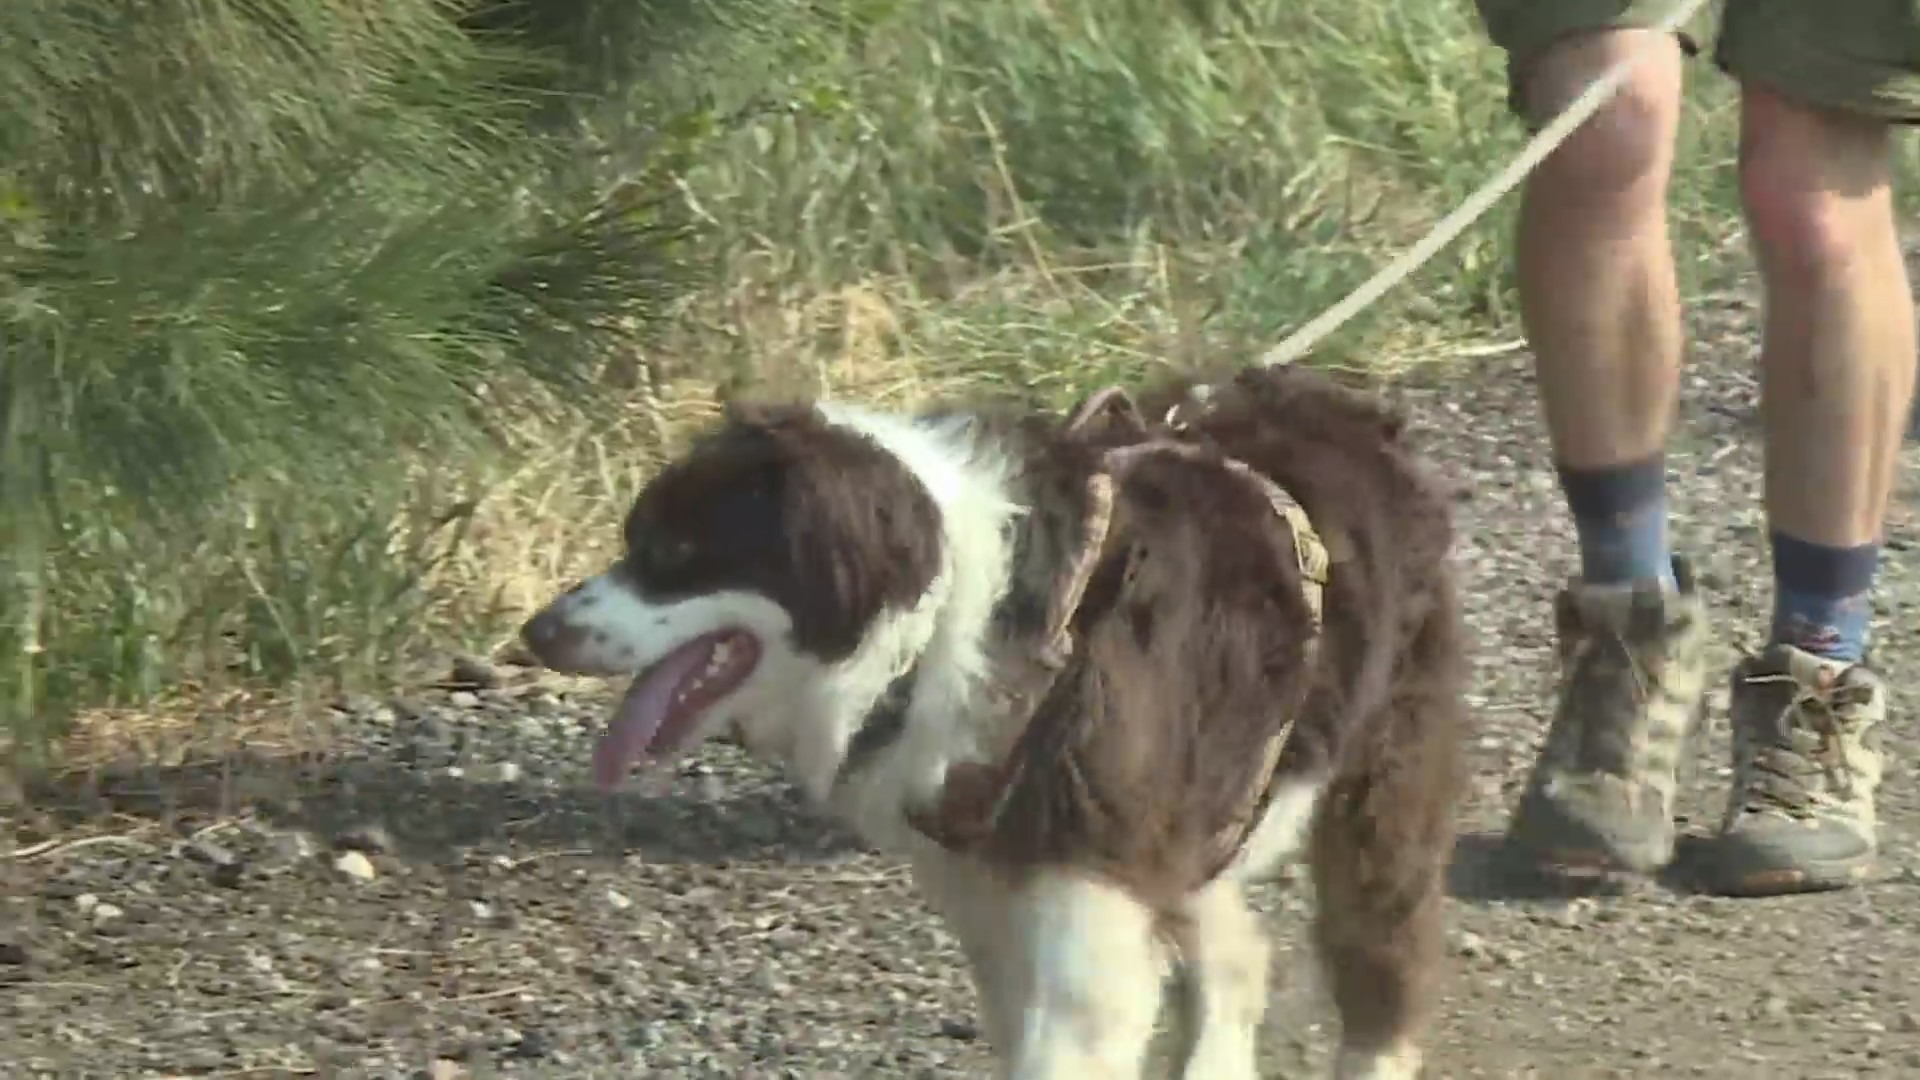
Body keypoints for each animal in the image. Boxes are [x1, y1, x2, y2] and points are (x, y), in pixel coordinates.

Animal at [518, 363, 1459, 1076]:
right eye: (631, 537)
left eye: (674, 554)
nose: (534, 633)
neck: (954, 617)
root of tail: (1349, 407)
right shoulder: (1004, 899)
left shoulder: (1085, 916)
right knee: (1235, 952)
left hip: (1379, 780)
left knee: (1382, 962)